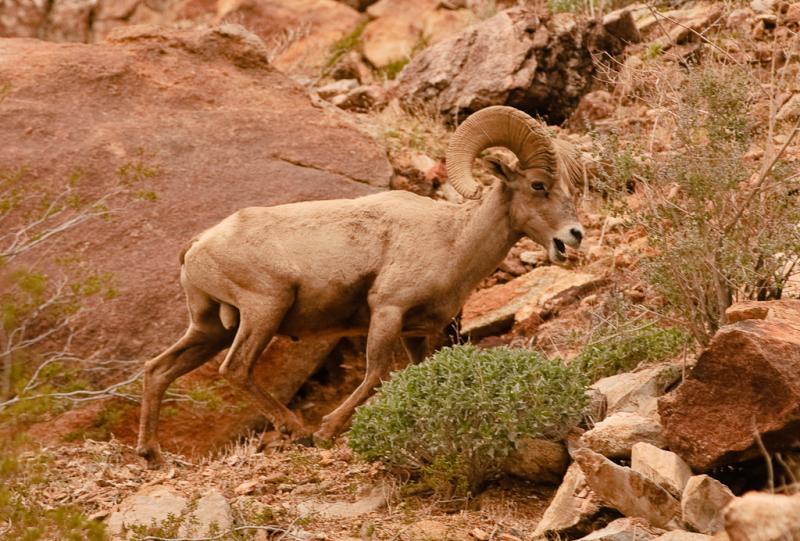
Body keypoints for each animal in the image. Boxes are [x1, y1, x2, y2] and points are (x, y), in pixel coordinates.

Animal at [136, 105, 585, 466]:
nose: (574, 235)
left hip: (210, 328)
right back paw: (296, 430)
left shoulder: (417, 333)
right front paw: (325, 431)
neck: (452, 239)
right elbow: (376, 373)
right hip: (265, 308)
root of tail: (198, 245)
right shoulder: (387, 310)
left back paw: (152, 455)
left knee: (158, 370)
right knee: (236, 368)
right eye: (538, 185)